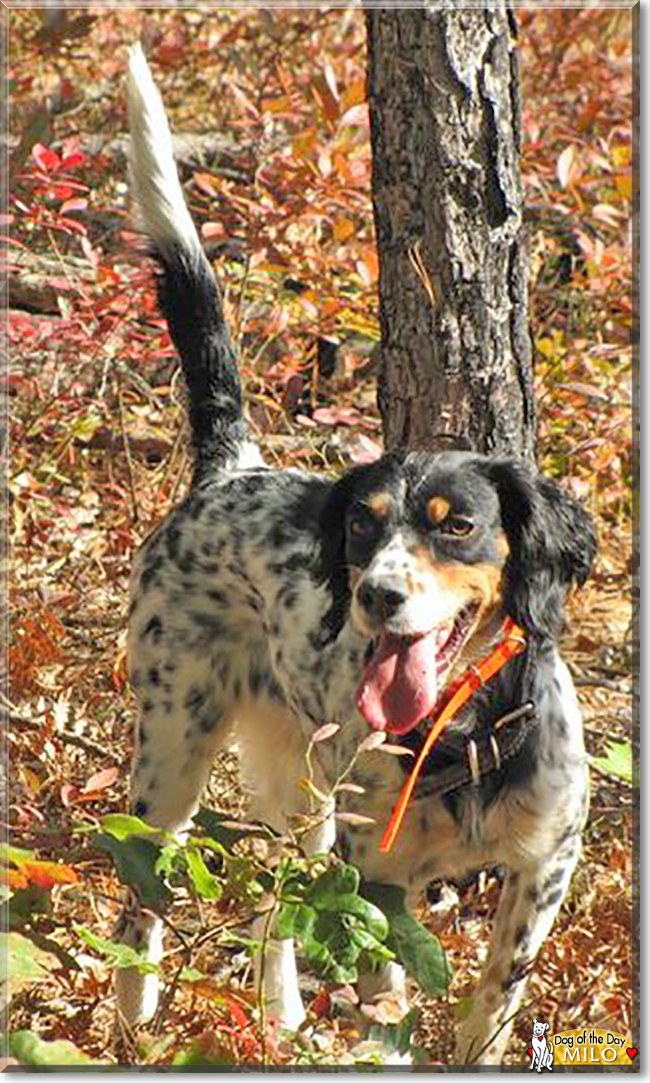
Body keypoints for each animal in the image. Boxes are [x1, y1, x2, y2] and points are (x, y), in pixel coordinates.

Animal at [114, 44, 598, 1065]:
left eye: (457, 525)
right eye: (363, 528)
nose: (376, 595)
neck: (462, 735)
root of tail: (233, 464)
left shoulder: (546, 867)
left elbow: (490, 1006)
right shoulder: (379, 880)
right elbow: (388, 1001)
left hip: (300, 783)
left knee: (280, 898)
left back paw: (280, 1013)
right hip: (176, 747)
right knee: (148, 886)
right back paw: (134, 1017)